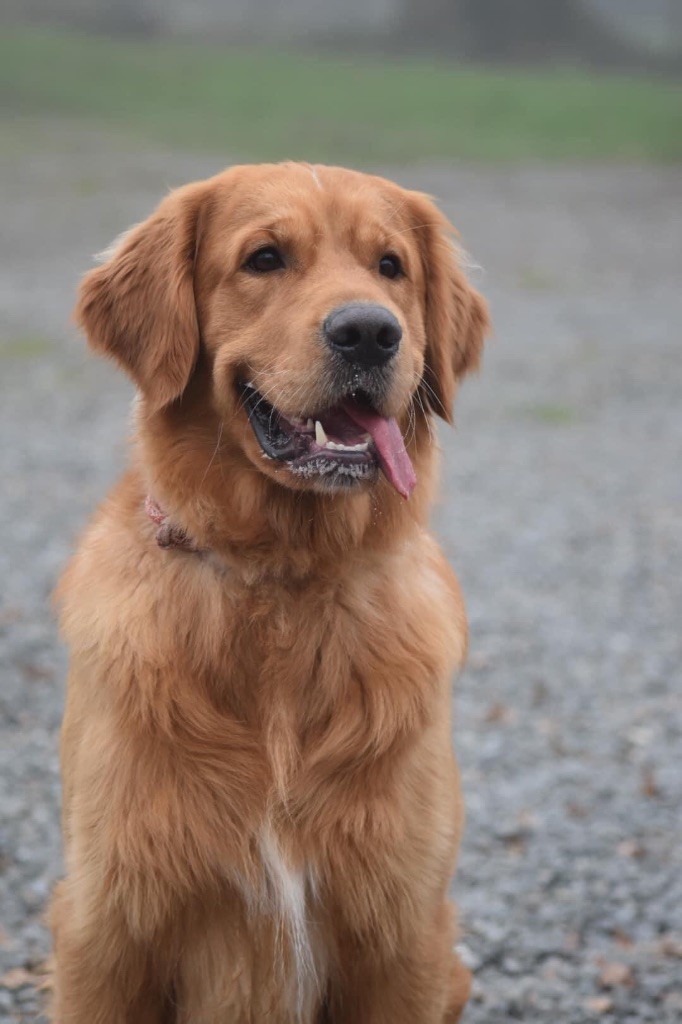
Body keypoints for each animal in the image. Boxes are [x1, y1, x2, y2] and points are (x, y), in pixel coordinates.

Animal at [49, 163, 489, 1019]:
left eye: (391, 267)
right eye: (264, 259)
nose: (370, 332)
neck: (283, 581)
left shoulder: (403, 934)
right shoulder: (105, 931)